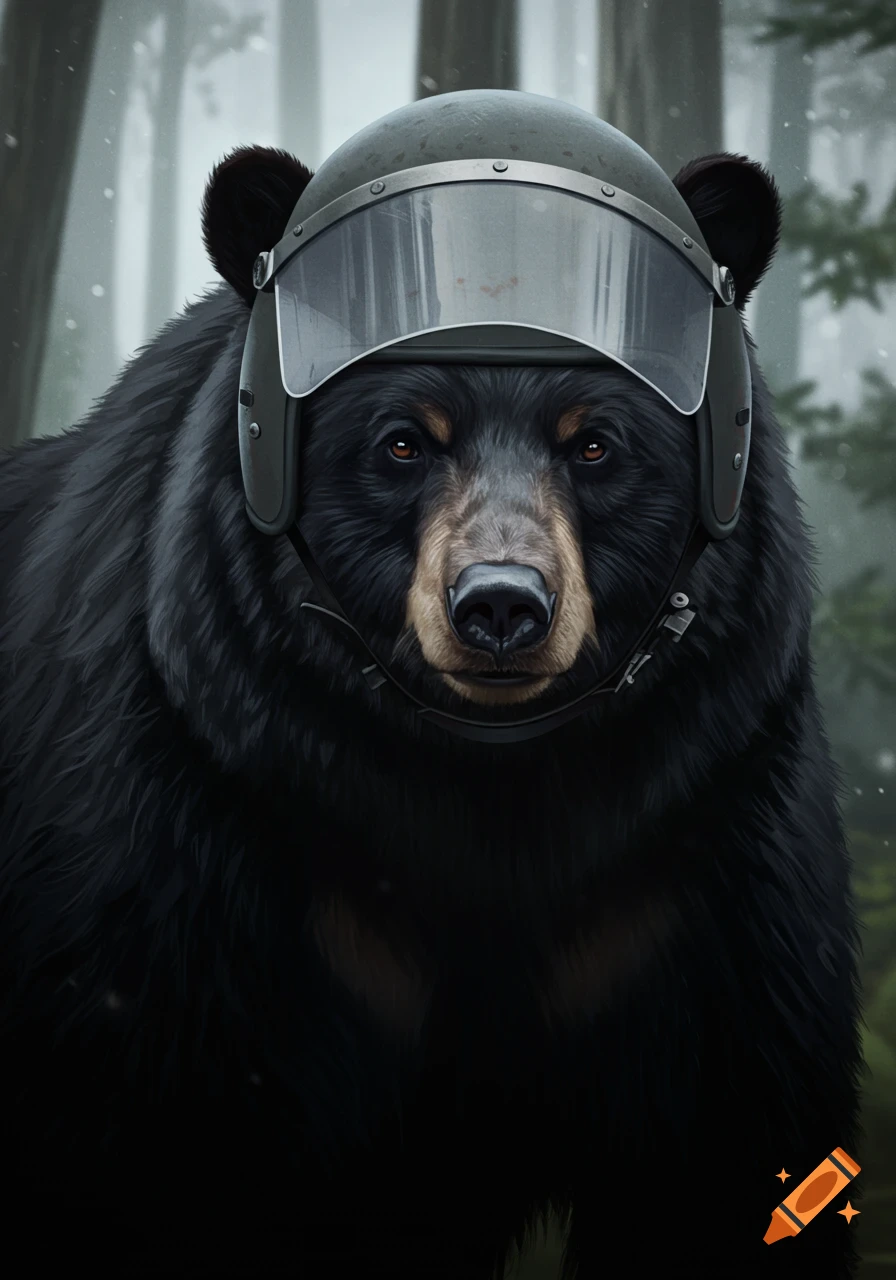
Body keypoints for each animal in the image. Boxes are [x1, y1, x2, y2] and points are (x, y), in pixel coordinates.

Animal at [0, 139, 862, 1279]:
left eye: (594, 444)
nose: (500, 604)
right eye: (403, 442)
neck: (476, 791)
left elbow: (721, 1150)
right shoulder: (186, 826)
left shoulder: (706, 838)